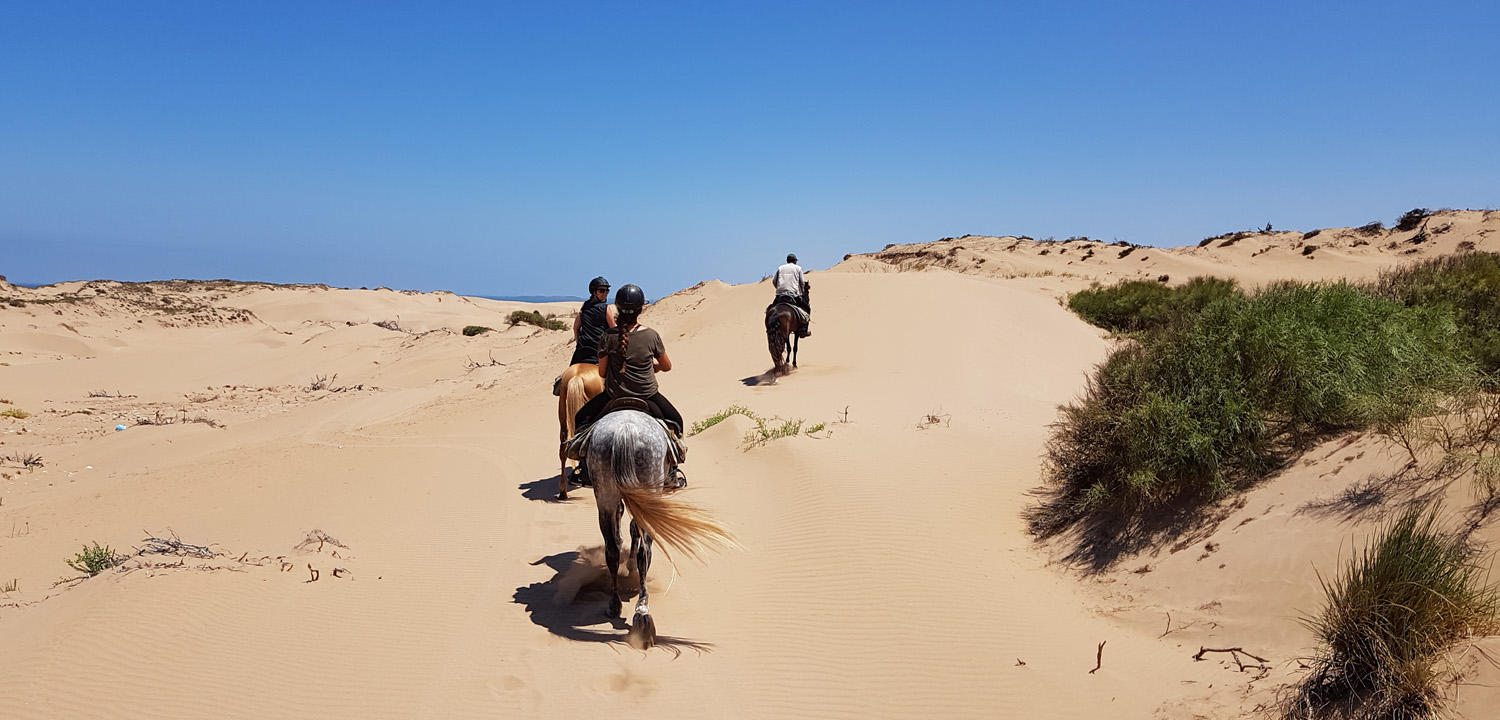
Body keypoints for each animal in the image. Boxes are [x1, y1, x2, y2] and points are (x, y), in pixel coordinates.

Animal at [586, 409, 735, 649]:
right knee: (644, 552)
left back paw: (614, 604)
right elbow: (635, 533)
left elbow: (626, 532)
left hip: (605, 496)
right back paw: (642, 609)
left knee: (612, 550)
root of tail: (624, 430)